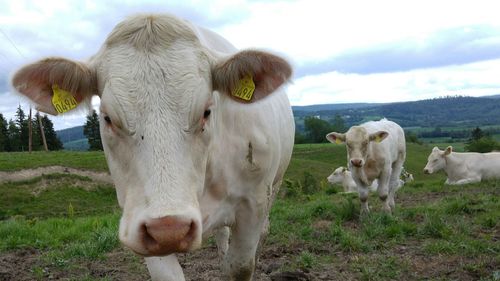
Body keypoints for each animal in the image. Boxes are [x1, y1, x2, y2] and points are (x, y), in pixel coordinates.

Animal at [11, 13, 294, 280]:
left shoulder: (253, 204)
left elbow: (240, 266)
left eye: (206, 111)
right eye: (107, 118)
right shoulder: (140, 219)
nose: (171, 230)